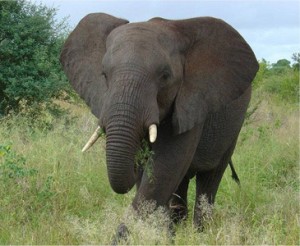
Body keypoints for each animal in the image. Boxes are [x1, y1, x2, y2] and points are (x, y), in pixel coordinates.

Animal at [60, 12, 258, 233]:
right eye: (104, 75)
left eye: (165, 76)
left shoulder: (192, 100)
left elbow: (165, 167)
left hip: (233, 127)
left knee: (209, 179)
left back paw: (200, 232)